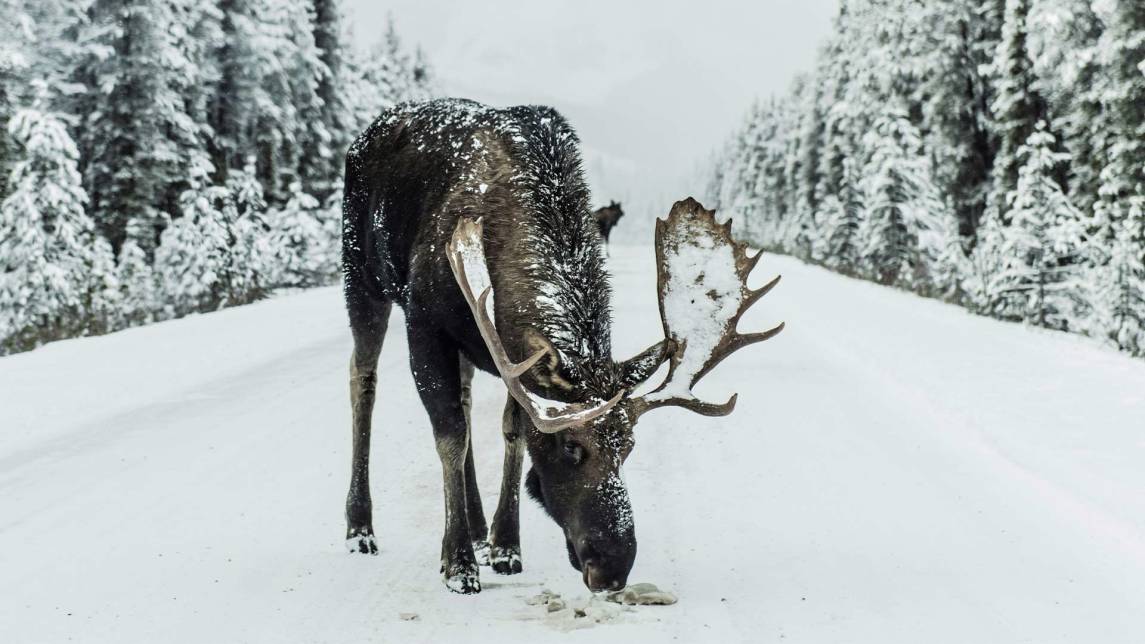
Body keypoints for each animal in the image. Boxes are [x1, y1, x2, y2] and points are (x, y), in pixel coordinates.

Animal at [341, 96, 787, 591]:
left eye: (629, 447)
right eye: (572, 447)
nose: (613, 567)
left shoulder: (509, 353)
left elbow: (512, 431)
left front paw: (505, 545)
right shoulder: (424, 320)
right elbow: (450, 435)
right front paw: (458, 563)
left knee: (465, 397)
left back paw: (477, 526)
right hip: (361, 277)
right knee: (363, 380)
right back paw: (360, 528)